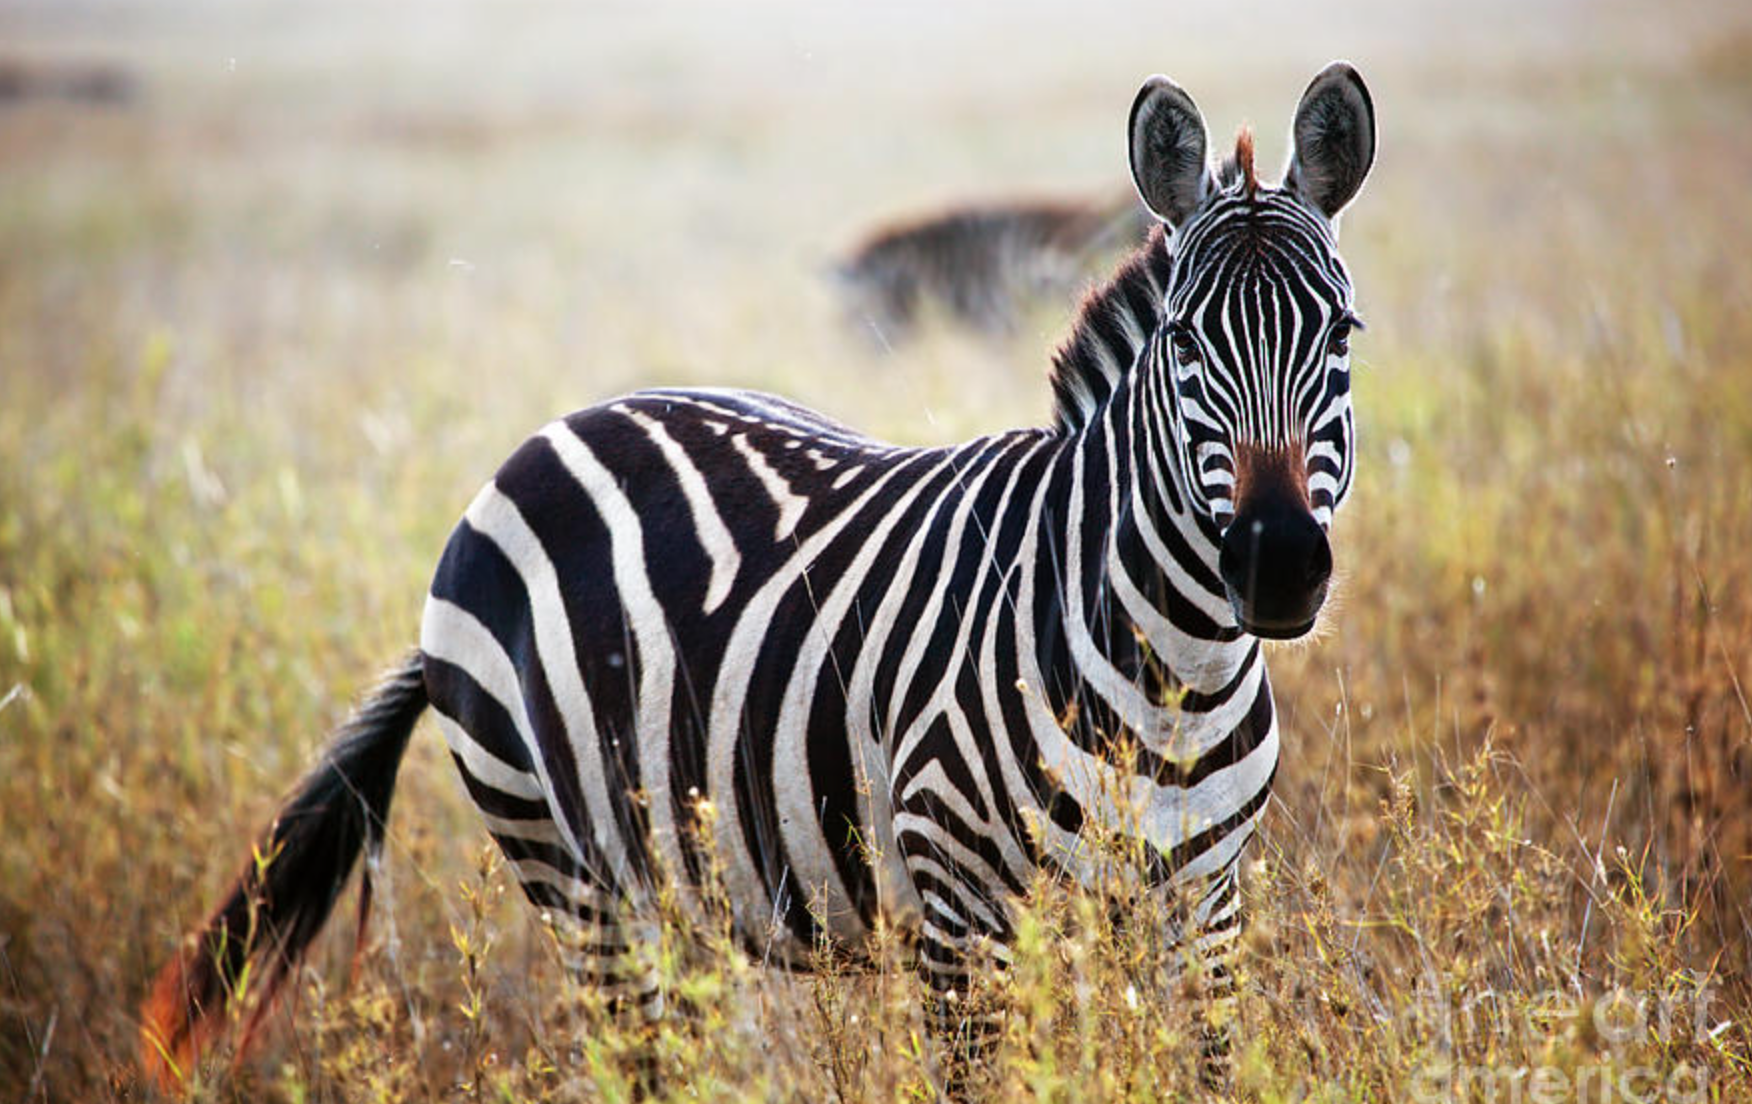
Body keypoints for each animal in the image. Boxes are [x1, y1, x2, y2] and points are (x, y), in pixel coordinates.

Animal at [140, 62, 1366, 1100]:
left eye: (1344, 333)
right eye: (1185, 344)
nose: (1275, 565)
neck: (1174, 672)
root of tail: (542, 439)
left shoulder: (1205, 909)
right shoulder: (960, 908)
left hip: (676, 886)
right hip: (575, 874)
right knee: (631, 1055)